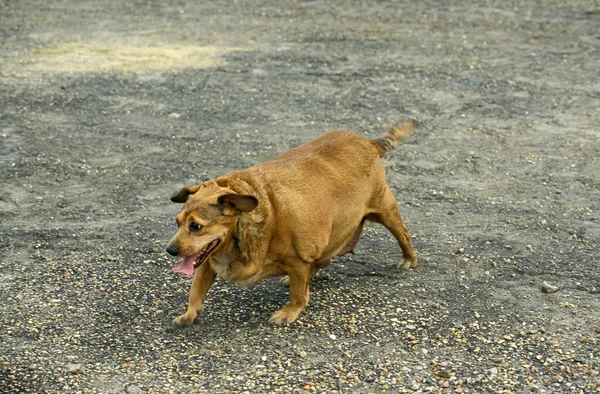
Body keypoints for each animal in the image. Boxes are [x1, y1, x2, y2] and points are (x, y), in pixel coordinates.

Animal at [164, 121, 418, 326]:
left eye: (195, 226)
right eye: (177, 222)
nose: (170, 250)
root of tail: (369, 143)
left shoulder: (298, 260)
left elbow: (298, 294)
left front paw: (289, 312)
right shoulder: (206, 261)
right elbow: (196, 291)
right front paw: (188, 315)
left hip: (385, 211)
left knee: (403, 234)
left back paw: (408, 258)